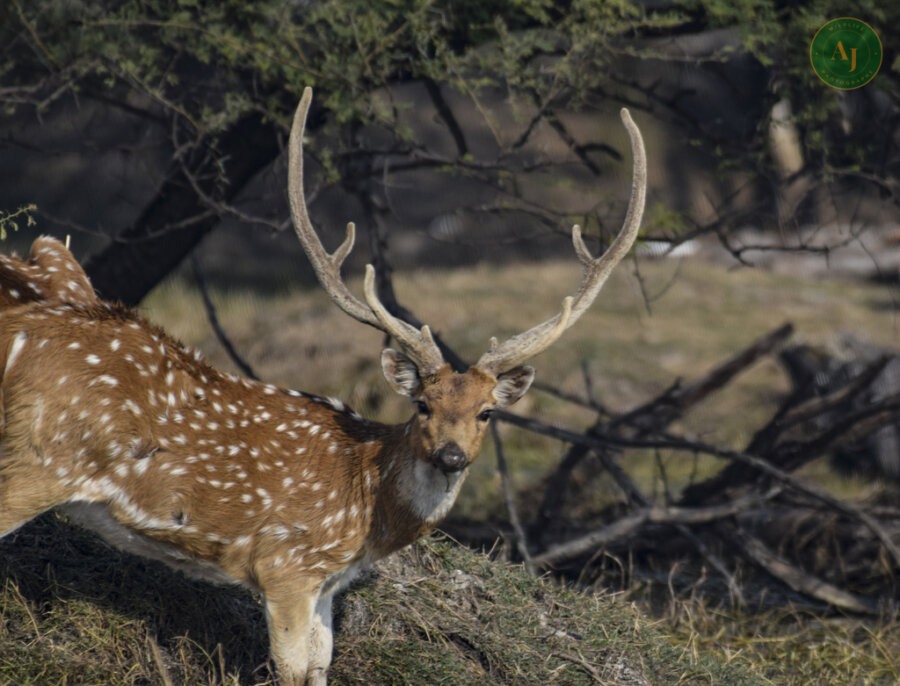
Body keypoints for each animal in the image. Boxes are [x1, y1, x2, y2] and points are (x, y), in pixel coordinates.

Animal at [0, 88, 648, 684]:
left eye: (487, 412)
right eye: (422, 403)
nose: (450, 455)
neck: (365, 513)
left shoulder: (328, 585)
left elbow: (320, 666)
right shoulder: (286, 562)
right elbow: (291, 669)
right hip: (37, 462)